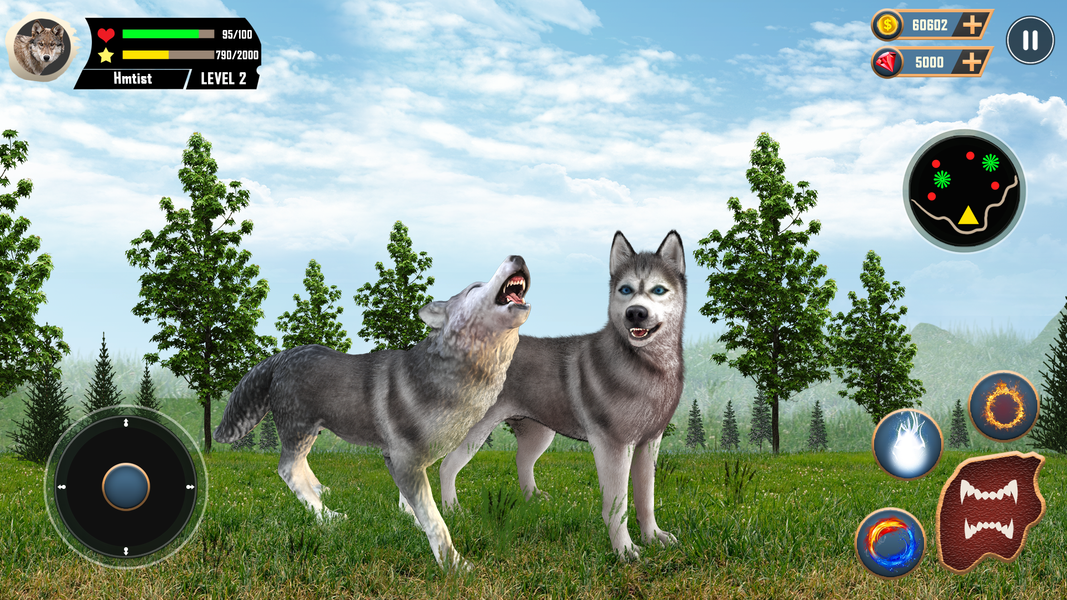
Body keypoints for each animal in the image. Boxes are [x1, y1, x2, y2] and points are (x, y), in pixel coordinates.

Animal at [214, 255, 530, 569]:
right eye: (475, 287)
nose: (518, 257)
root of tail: (280, 356)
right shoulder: (404, 459)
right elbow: (435, 520)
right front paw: (453, 565)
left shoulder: (409, 462)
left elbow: (411, 505)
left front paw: (410, 522)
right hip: (300, 429)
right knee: (287, 469)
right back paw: (327, 516)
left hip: (311, 431)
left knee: (299, 465)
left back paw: (320, 489)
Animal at [440, 231, 685, 559]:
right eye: (626, 289)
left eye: (659, 290)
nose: (636, 312)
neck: (647, 366)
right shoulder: (613, 446)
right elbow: (617, 505)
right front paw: (624, 550)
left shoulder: (649, 443)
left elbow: (646, 498)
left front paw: (653, 537)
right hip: (476, 431)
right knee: (447, 466)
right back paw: (452, 511)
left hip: (539, 431)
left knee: (521, 460)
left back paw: (532, 498)